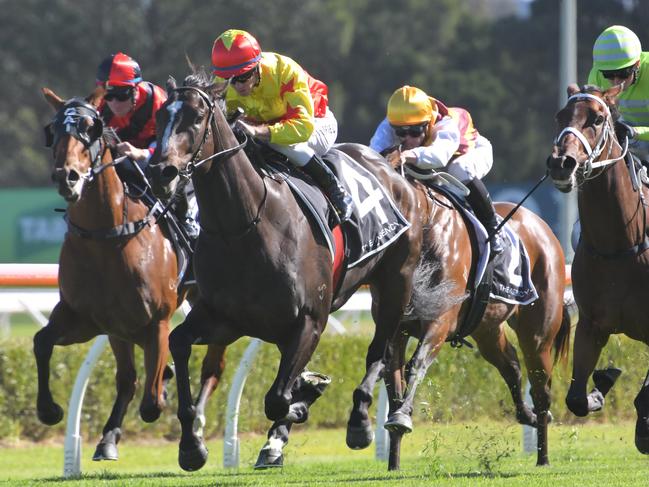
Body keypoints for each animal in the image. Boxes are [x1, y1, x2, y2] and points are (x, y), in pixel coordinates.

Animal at [37, 86, 228, 462]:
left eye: (90, 128)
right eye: (54, 130)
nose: (67, 176)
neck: (105, 239)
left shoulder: (156, 322)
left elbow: (152, 402)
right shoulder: (90, 320)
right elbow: (41, 343)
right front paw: (51, 410)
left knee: (212, 370)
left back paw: (196, 430)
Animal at [144, 73, 422, 472]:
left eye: (196, 118)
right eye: (160, 117)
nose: (159, 172)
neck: (242, 227)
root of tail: (388, 166)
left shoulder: (310, 321)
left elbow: (277, 399)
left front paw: (303, 402)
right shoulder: (224, 318)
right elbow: (179, 343)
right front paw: (191, 446)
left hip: (395, 282)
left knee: (380, 352)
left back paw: (360, 421)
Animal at [370, 150, 572, 468]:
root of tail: (541, 226)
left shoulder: (439, 322)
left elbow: (417, 363)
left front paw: (401, 418)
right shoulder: (395, 328)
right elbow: (393, 382)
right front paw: (393, 459)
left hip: (538, 333)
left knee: (541, 388)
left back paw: (543, 456)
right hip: (487, 329)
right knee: (512, 366)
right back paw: (525, 415)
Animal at [548, 83, 648, 454]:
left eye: (597, 118)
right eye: (561, 115)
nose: (561, 162)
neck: (620, 244)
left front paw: (644, 428)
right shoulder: (592, 325)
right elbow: (576, 398)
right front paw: (602, 383)